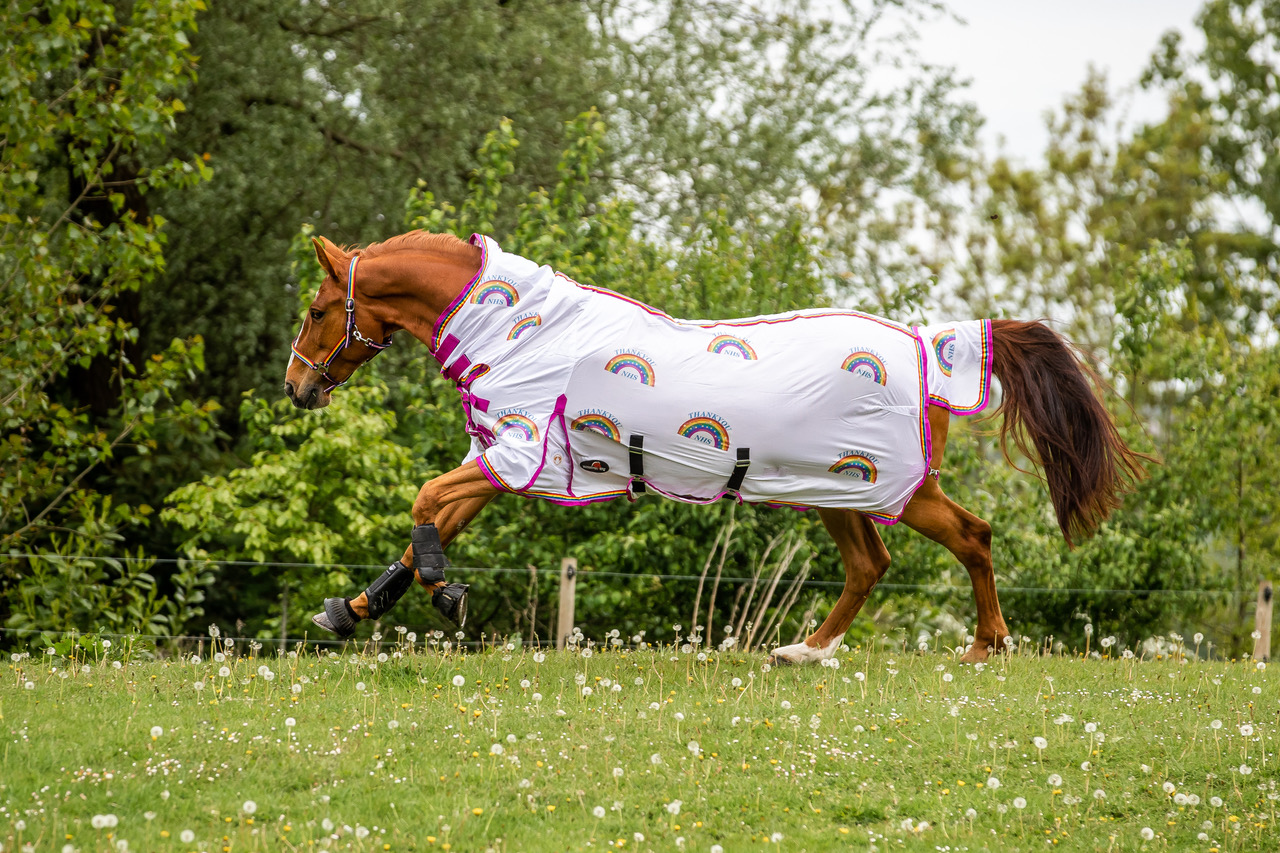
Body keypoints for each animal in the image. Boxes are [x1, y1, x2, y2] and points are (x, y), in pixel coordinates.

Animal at [285, 233, 1146, 666]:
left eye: (319, 308)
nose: (296, 385)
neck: (524, 329)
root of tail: (921, 344)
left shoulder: (520, 448)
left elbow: (427, 502)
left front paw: (442, 591)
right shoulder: (507, 457)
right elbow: (427, 519)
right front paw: (348, 611)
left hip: (884, 485)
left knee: (971, 535)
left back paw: (985, 644)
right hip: (833, 490)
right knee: (871, 565)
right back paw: (806, 651)